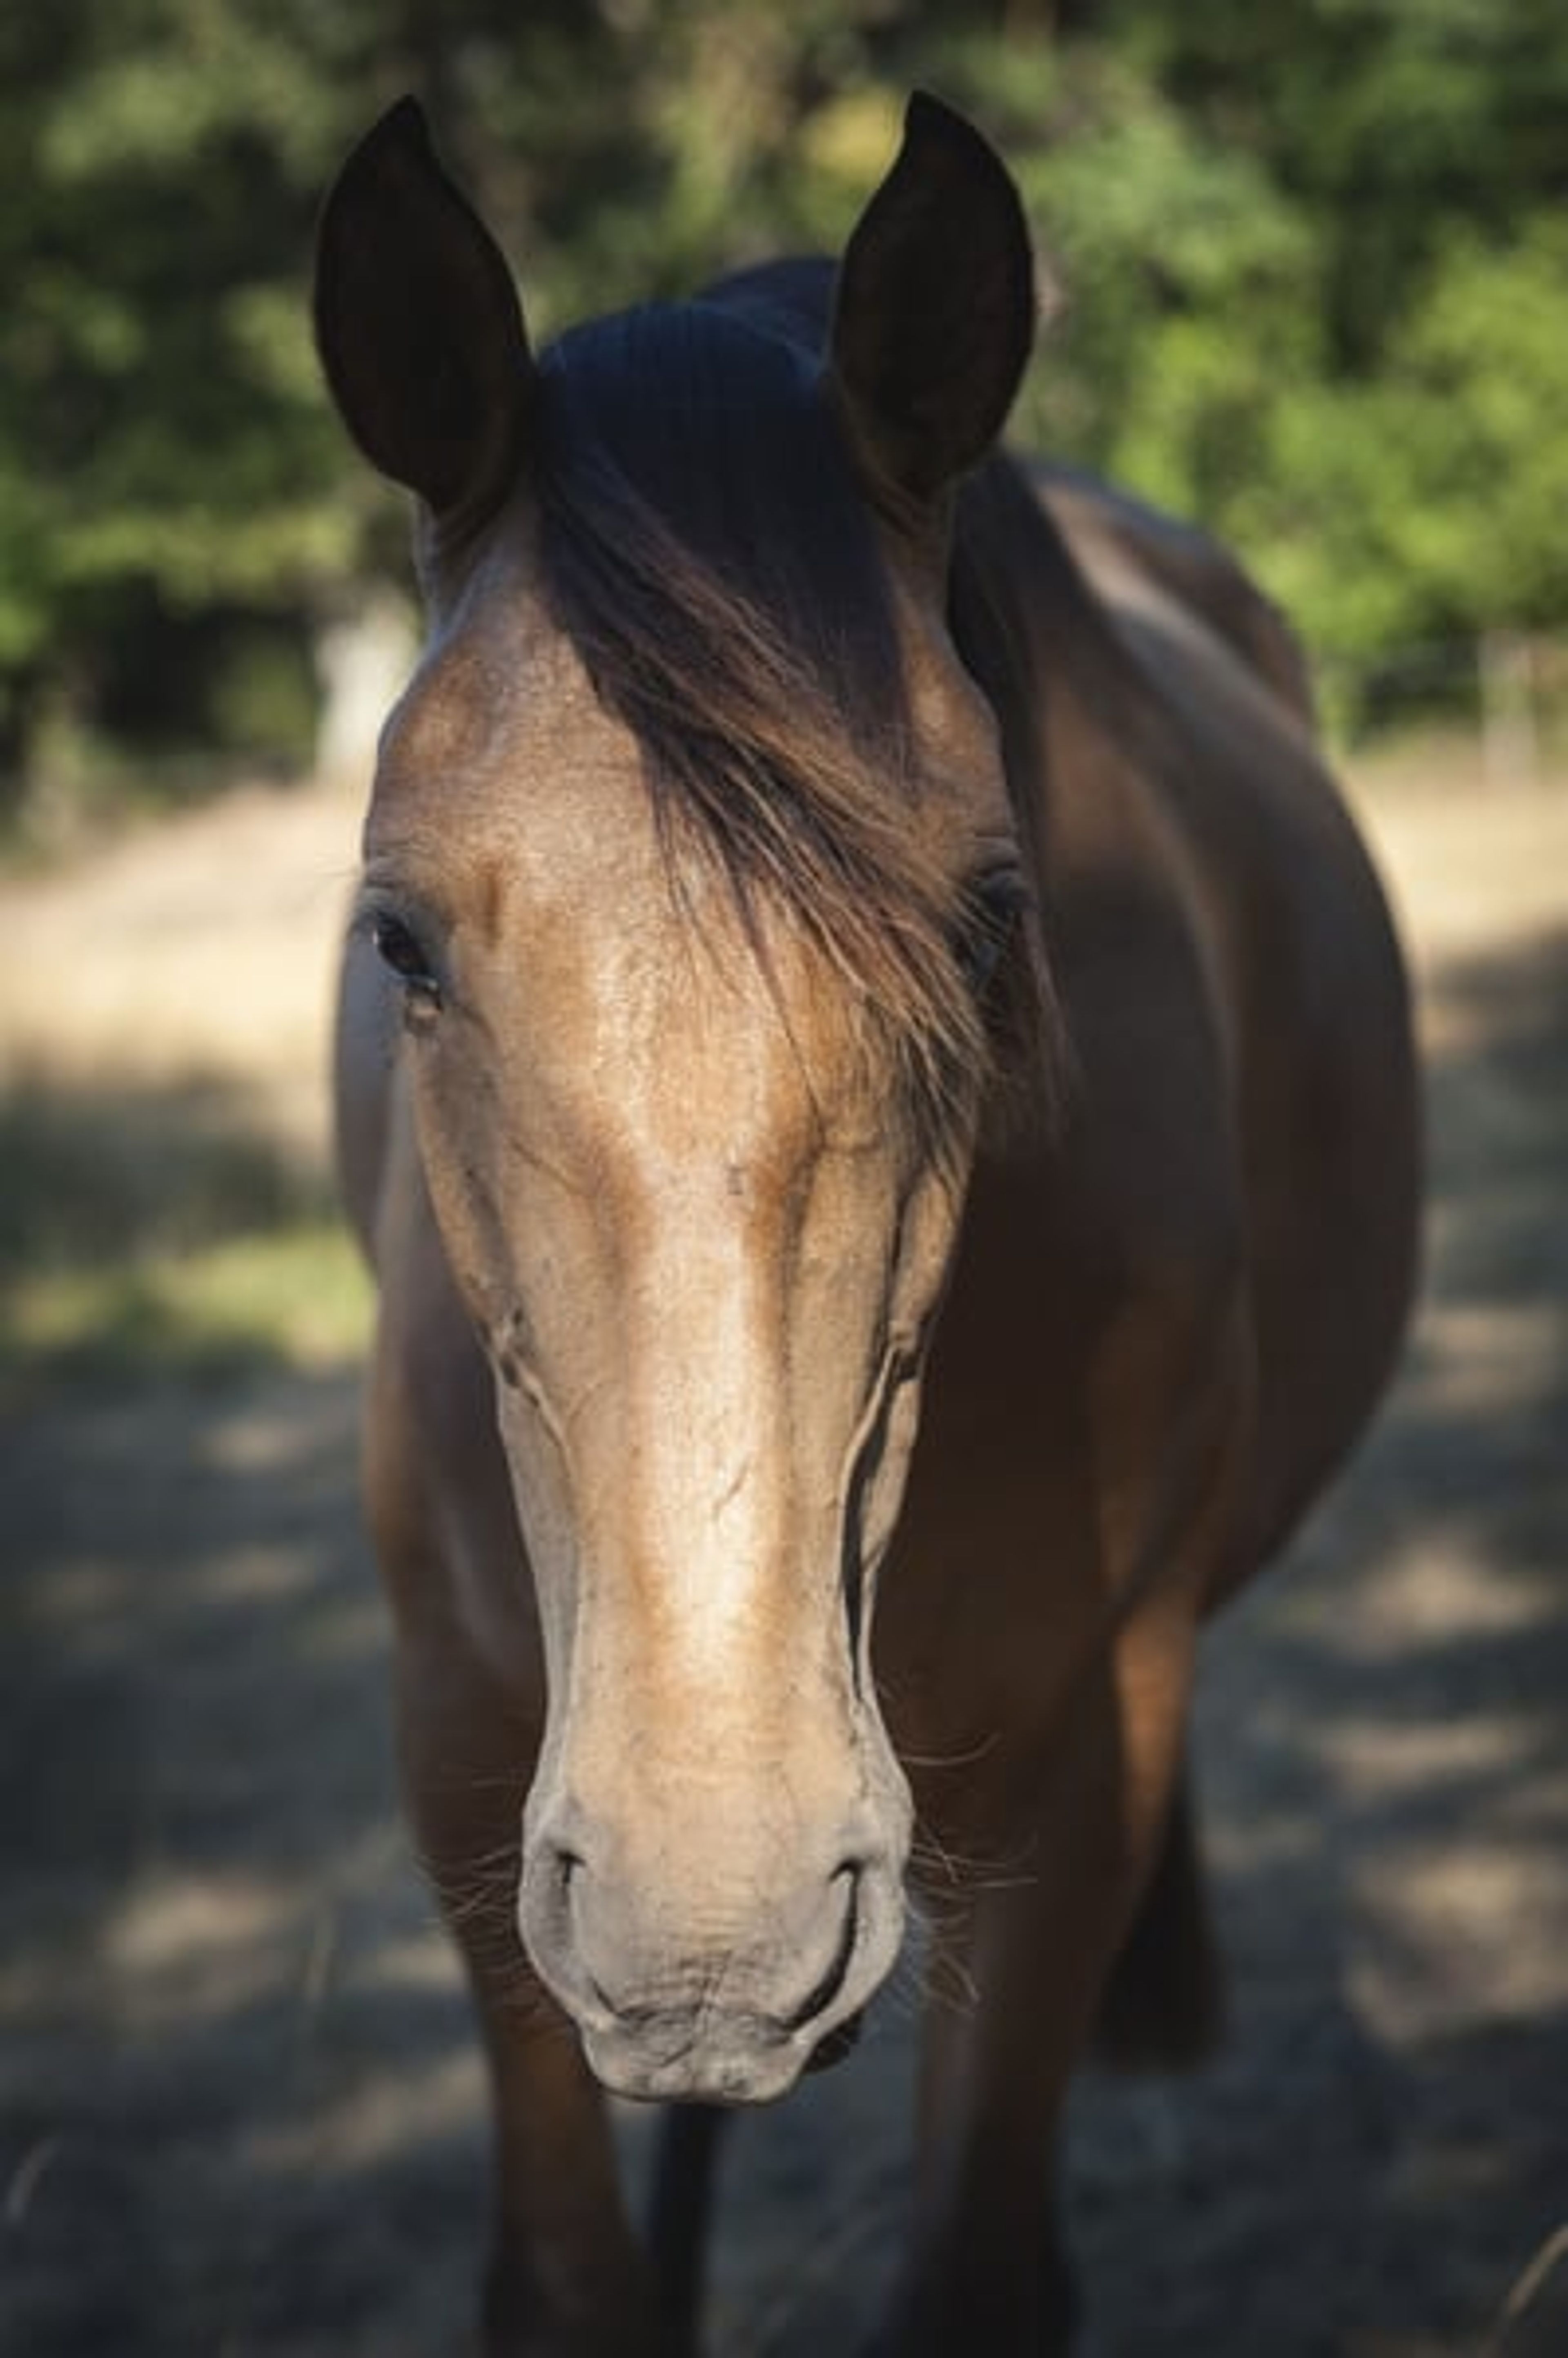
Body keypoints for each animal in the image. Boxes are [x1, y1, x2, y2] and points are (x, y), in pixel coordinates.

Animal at [314, 90, 1419, 2357]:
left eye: (991, 920)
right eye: (399, 940)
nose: (706, 1918)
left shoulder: (1082, 1756)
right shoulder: (459, 1742)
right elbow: (575, 2276)